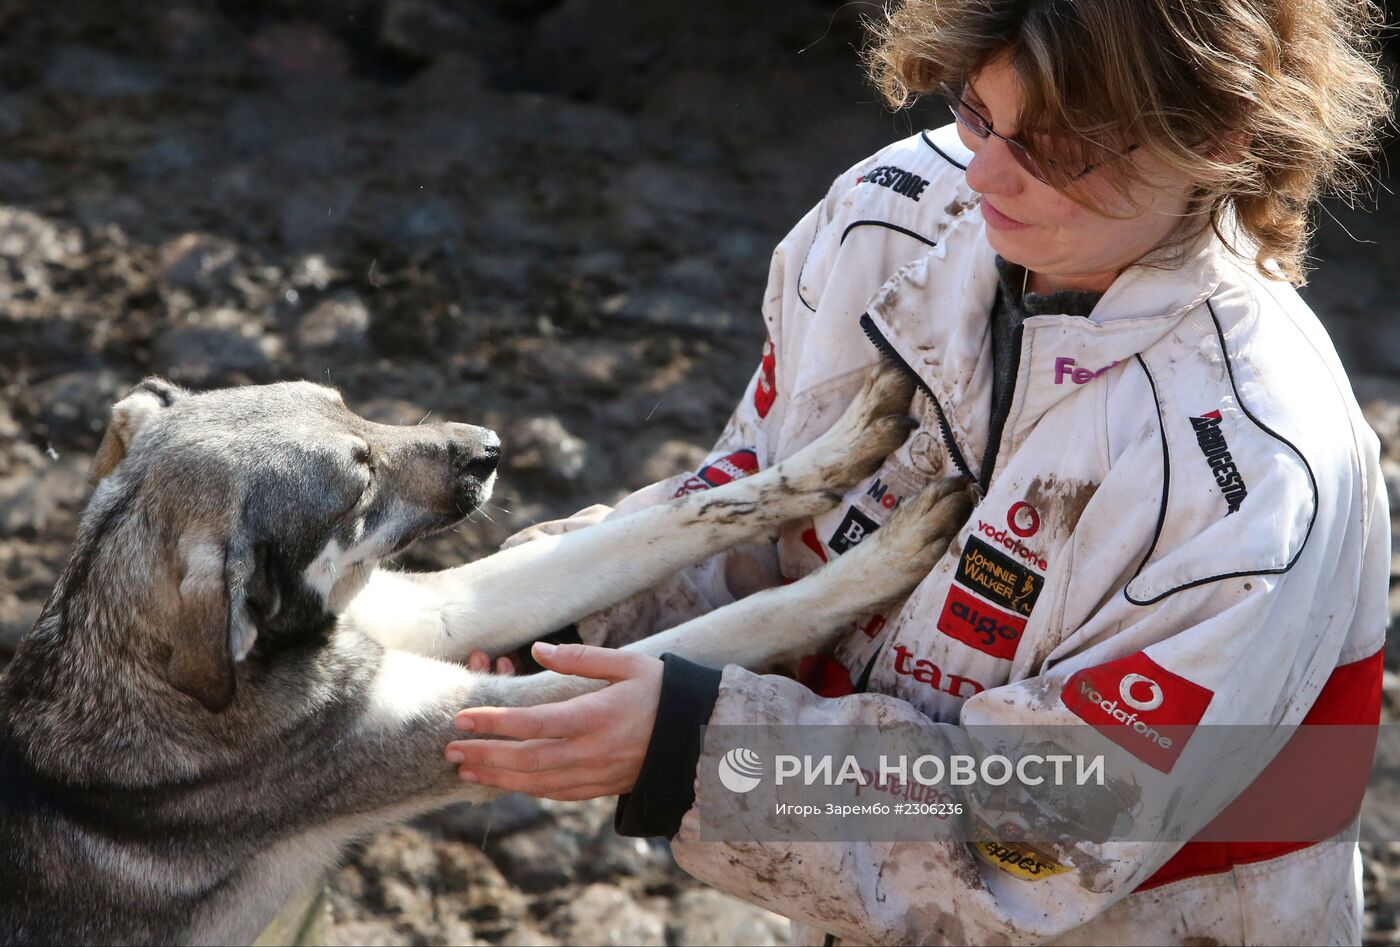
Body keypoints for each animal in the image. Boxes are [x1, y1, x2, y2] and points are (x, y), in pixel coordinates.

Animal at [0, 361, 974, 941]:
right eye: (358, 481)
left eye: (349, 402)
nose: (492, 449)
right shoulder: (475, 714)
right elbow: (735, 626)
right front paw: (887, 558)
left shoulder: (432, 608)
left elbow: (683, 517)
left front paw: (846, 443)